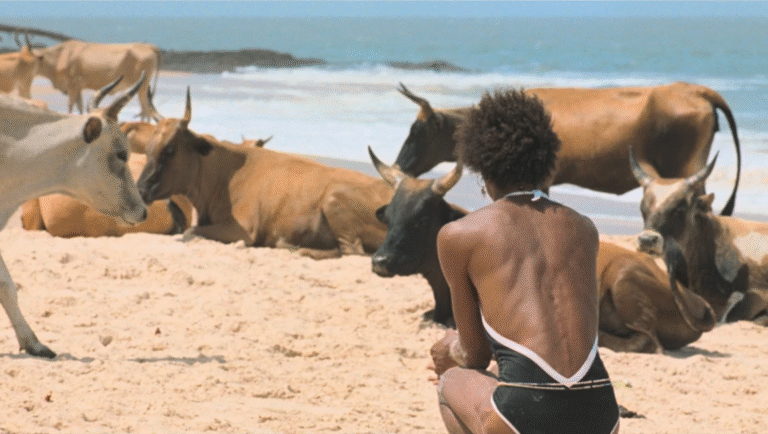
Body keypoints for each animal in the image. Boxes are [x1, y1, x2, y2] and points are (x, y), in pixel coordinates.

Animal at [136, 88, 394, 259]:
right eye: (147, 149)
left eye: (170, 150)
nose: (140, 189)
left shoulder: (244, 230)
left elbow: (191, 231)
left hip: (333, 199)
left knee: (352, 251)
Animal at [369, 147, 718, 350]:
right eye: (390, 214)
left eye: (421, 218)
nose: (380, 261)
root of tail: (695, 301)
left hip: (623, 279)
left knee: (646, 342)